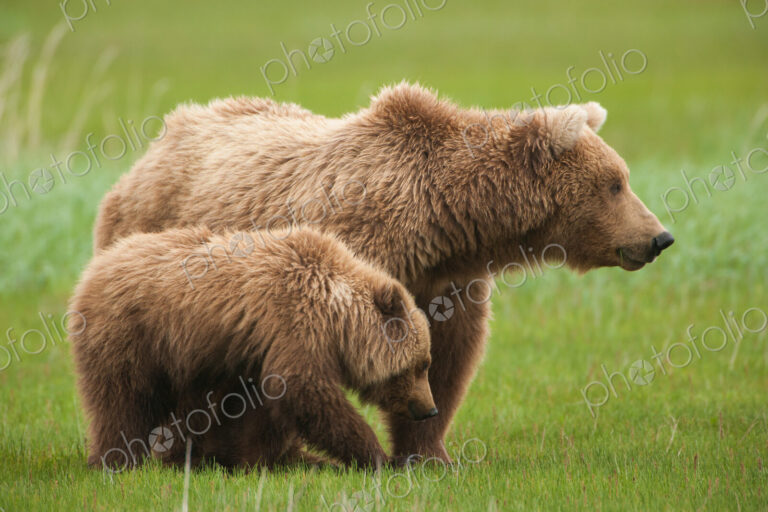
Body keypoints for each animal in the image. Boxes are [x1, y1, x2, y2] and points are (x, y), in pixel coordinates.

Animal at [68, 225, 437, 471]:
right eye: (422, 364)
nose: (429, 409)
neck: (335, 314)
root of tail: (94, 267)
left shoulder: (250, 353)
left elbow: (259, 414)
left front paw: (265, 458)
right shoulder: (293, 321)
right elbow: (306, 390)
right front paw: (382, 457)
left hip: (188, 361)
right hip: (133, 335)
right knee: (121, 401)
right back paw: (115, 461)